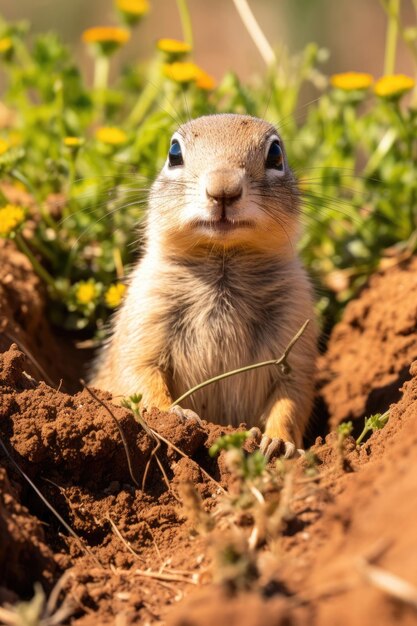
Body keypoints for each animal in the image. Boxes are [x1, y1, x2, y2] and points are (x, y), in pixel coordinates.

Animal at [92, 114, 316, 458]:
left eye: (276, 154)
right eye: (174, 153)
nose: (223, 189)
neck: (223, 264)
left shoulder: (296, 323)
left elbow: (292, 396)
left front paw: (279, 443)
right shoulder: (145, 311)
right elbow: (139, 374)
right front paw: (173, 414)